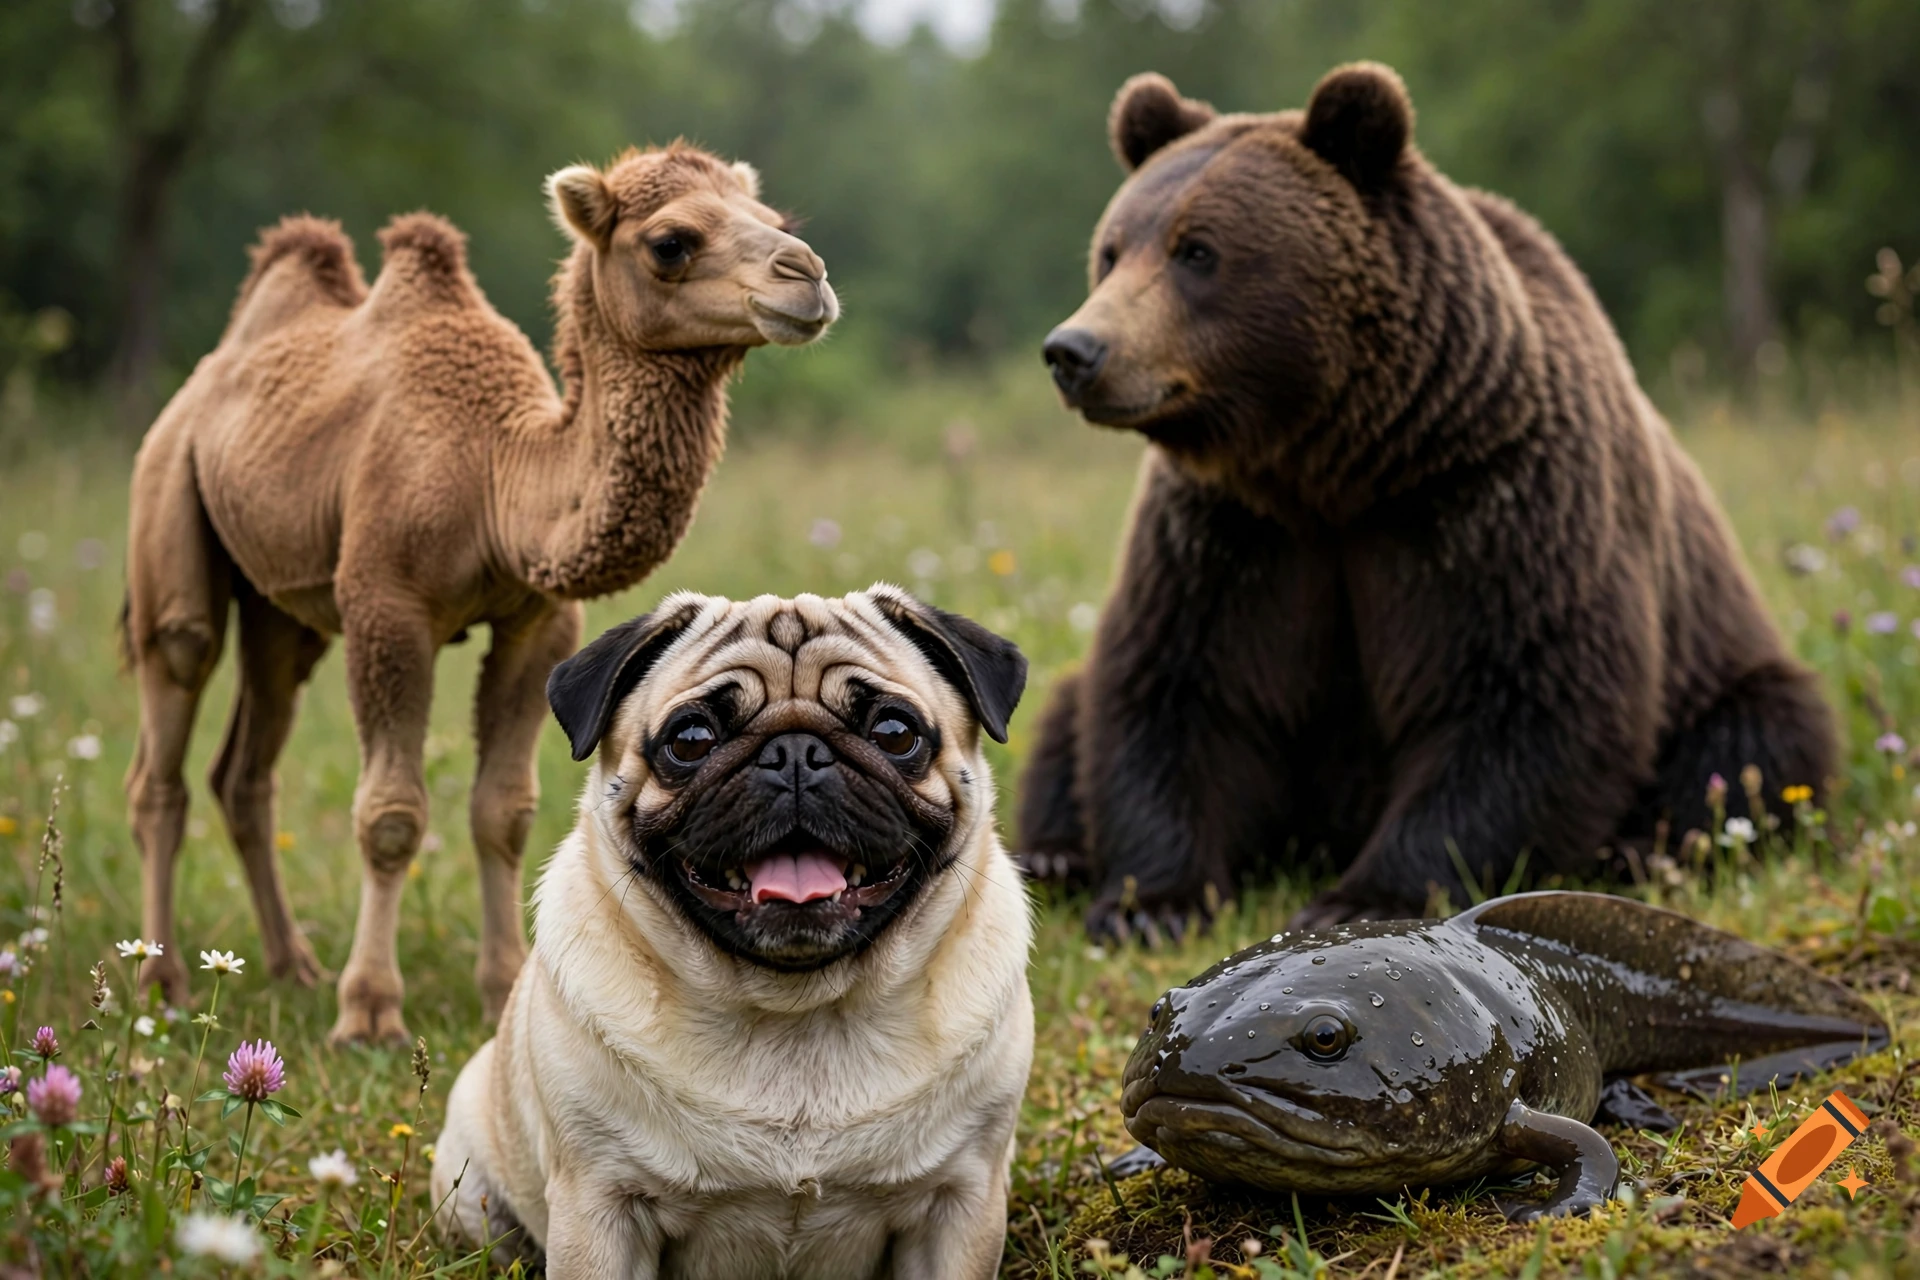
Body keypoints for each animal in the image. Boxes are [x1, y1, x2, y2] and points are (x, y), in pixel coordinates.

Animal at [123, 144, 836, 1043]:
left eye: (776, 221)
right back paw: (163, 980)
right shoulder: (385, 607)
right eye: (670, 243)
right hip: (168, 503)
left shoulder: (540, 620)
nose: (807, 275)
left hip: (281, 609)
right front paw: (370, 1012)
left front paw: (501, 989)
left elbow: (503, 809)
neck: (496, 474)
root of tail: (204, 380)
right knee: (168, 730)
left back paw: (292, 966)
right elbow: (391, 814)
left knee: (246, 768)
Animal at [1017, 62, 1838, 940]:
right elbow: (1178, 688)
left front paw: (1365, 894)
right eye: (1111, 251)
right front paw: (1152, 904)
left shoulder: (1491, 501)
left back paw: (1644, 852)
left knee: (1756, 742)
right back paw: (1053, 856)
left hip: (1718, 671)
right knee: (1063, 716)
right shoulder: (1231, 535)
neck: (1336, 465)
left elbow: (1523, 695)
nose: (1075, 350)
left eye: (1197, 250)